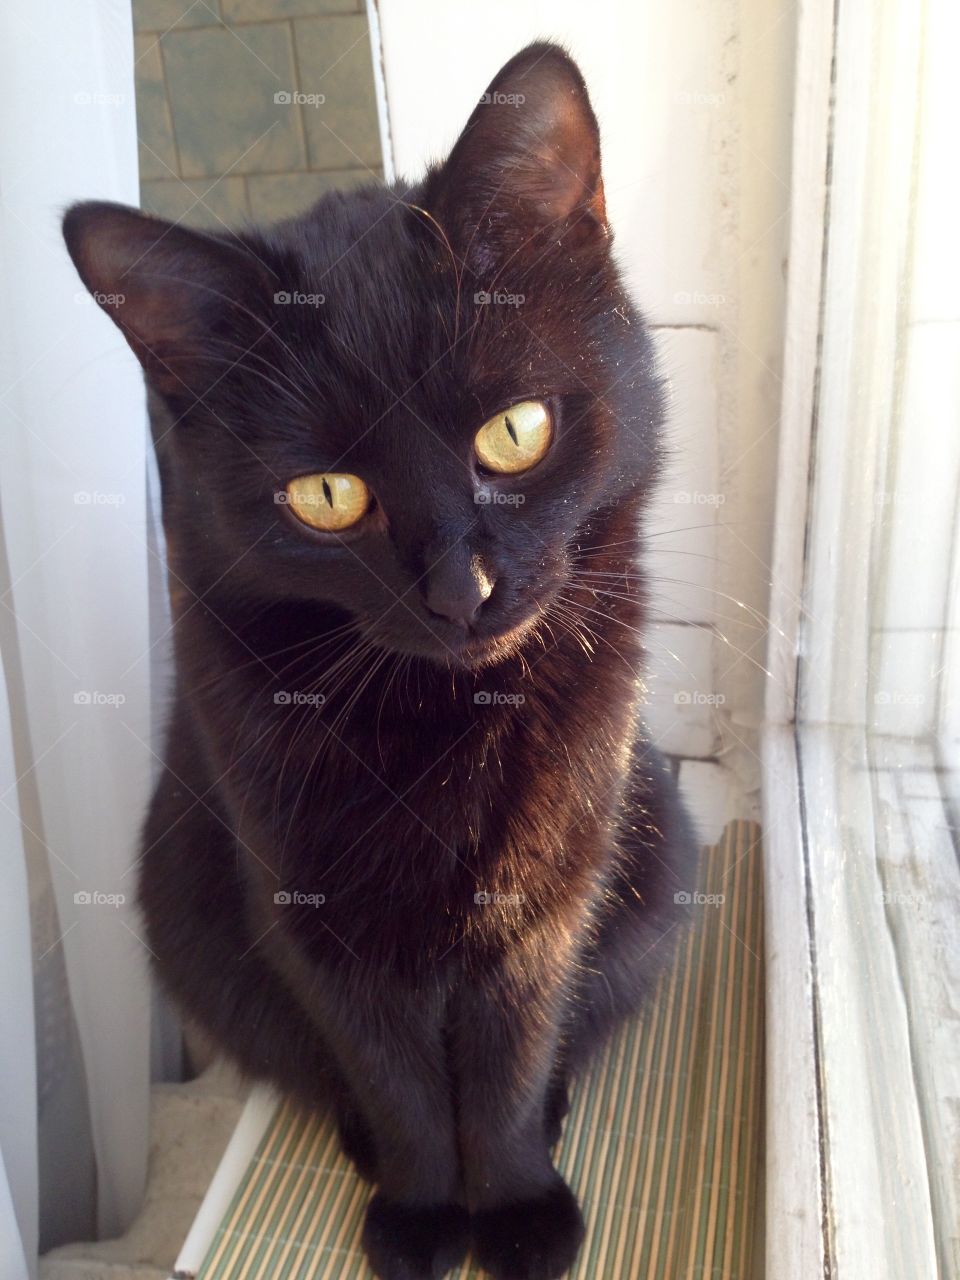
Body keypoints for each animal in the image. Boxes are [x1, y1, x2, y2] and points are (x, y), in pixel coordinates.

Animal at [65, 40, 701, 1280]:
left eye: (515, 431)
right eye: (325, 495)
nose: (462, 589)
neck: (448, 717)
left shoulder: (545, 906)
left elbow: (507, 1064)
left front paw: (514, 1208)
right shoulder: (316, 919)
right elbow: (395, 1078)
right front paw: (417, 1213)